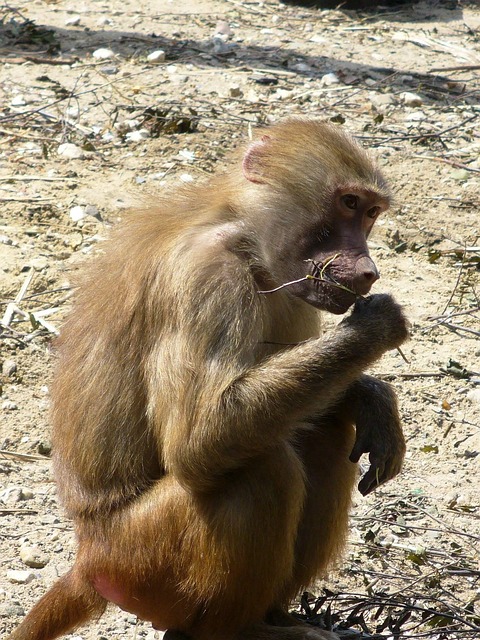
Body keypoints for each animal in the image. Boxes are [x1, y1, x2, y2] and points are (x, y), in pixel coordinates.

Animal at [9, 117, 408, 640]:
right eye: (348, 204)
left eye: (371, 214)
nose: (367, 271)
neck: (244, 238)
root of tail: (88, 555)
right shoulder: (206, 277)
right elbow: (198, 441)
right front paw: (376, 327)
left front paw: (372, 398)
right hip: (141, 560)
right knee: (263, 467)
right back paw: (244, 629)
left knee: (321, 431)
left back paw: (279, 617)